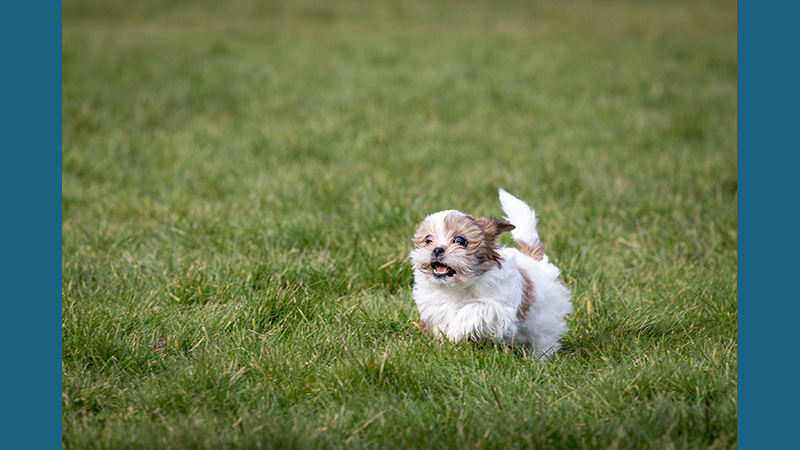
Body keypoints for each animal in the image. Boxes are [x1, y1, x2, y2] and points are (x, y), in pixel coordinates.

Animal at [410, 188, 572, 360]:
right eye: (428, 240)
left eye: (460, 240)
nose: (437, 249)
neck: (459, 287)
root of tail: (535, 259)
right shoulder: (434, 305)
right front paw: (445, 339)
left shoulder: (501, 310)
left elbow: (479, 307)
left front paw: (455, 331)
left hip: (547, 322)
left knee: (544, 340)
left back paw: (540, 359)